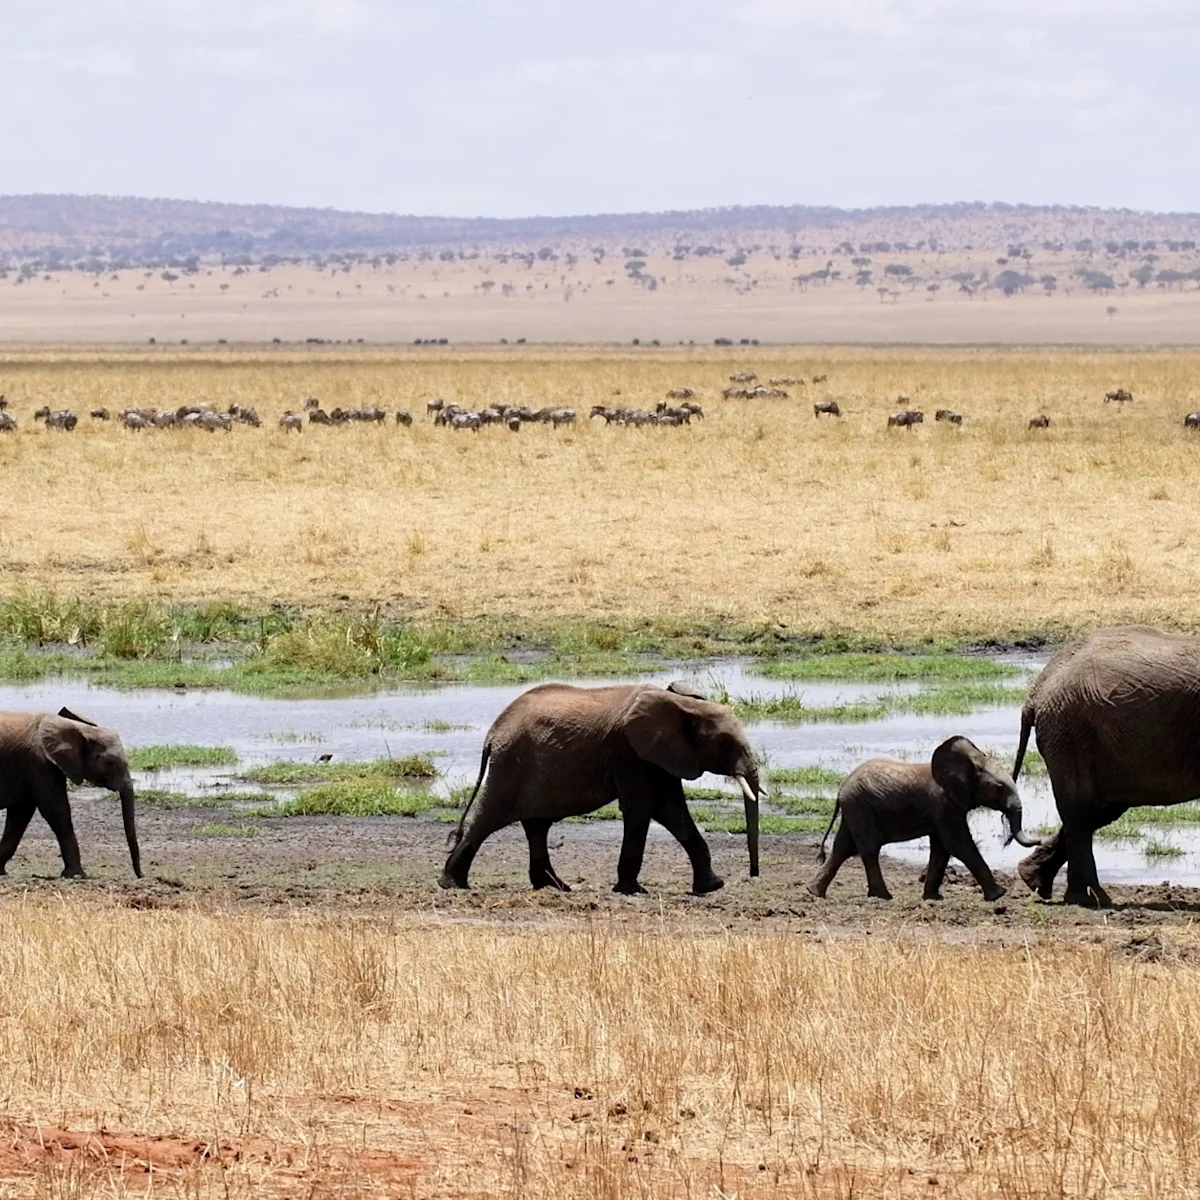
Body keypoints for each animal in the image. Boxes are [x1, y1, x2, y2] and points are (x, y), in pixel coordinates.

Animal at [0, 708, 141, 879]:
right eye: (110, 762)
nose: (141, 876)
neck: (81, 728)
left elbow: (20, 815)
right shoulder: (40, 764)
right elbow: (56, 811)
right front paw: (76, 875)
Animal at [440, 682, 764, 895]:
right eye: (724, 744)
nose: (754, 875)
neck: (685, 704)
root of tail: (493, 733)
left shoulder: (661, 755)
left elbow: (671, 809)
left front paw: (712, 887)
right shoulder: (631, 752)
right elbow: (642, 807)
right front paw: (632, 890)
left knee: (536, 826)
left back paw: (556, 887)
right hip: (511, 765)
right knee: (489, 818)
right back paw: (453, 885)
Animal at [807, 736, 1037, 901]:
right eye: (999, 788)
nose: (1038, 841)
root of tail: (841, 789)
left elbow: (941, 849)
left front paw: (932, 898)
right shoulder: (944, 805)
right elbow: (958, 845)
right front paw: (999, 895)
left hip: (855, 808)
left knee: (843, 848)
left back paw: (814, 892)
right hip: (860, 807)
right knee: (868, 849)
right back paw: (883, 897)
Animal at [1012, 626, 1200, 906]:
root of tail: (1038, 689)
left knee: (1095, 812)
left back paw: (1035, 881)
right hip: (1073, 734)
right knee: (1082, 813)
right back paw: (1091, 899)